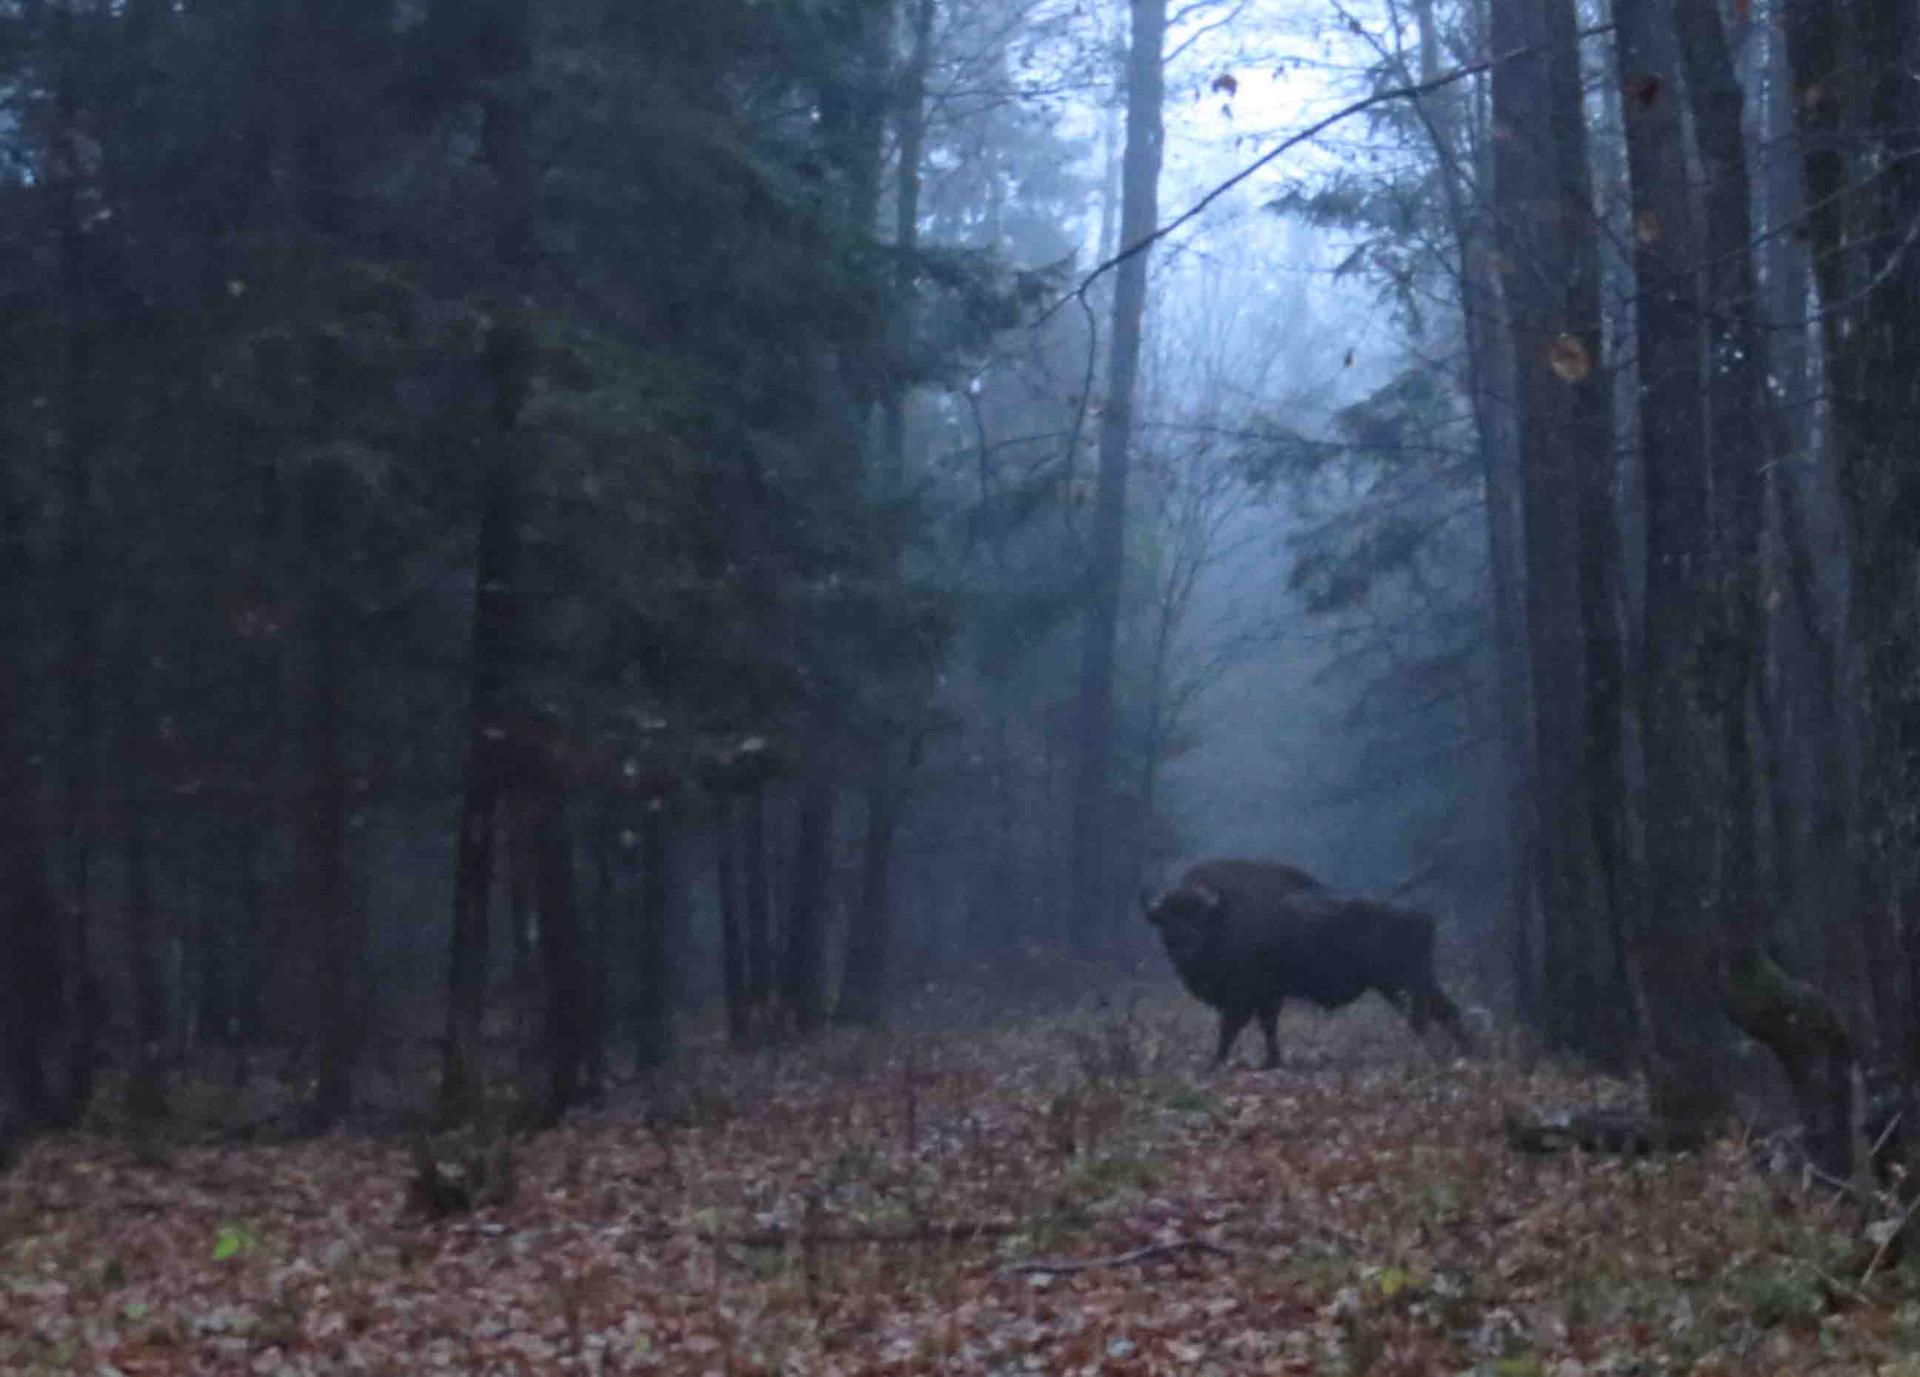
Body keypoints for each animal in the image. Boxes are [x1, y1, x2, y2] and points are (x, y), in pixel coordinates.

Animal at [1136, 860, 1466, 1060]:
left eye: (1196, 917)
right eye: (1167, 919)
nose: (1183, 945)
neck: (1222, 915)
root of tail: (1421, 917)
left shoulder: (1244, 996)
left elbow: (1232, 1027)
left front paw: (1217, 1062)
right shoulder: (1268, 995)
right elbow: (1267, 1026)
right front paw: (1272, 1060)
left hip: (1404, 981)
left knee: (1426, 1015)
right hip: (1405, 983)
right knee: (1443, 1011)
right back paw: (1464, 1052)